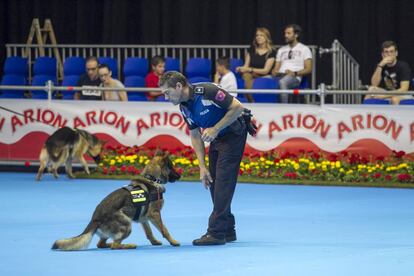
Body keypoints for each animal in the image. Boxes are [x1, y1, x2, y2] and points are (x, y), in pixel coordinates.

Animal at [51, 152, 180, 251]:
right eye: (171, 167)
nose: (179, 175)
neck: (152, 179)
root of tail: (94, 219)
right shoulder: (155, 214)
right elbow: (164, 230)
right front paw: (173, 241)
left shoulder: (144, 218)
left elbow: (149, 232)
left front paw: (154, 242)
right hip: (126, 224)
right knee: (115, 245)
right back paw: (128, 245)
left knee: (101, 244)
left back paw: (110, 244)